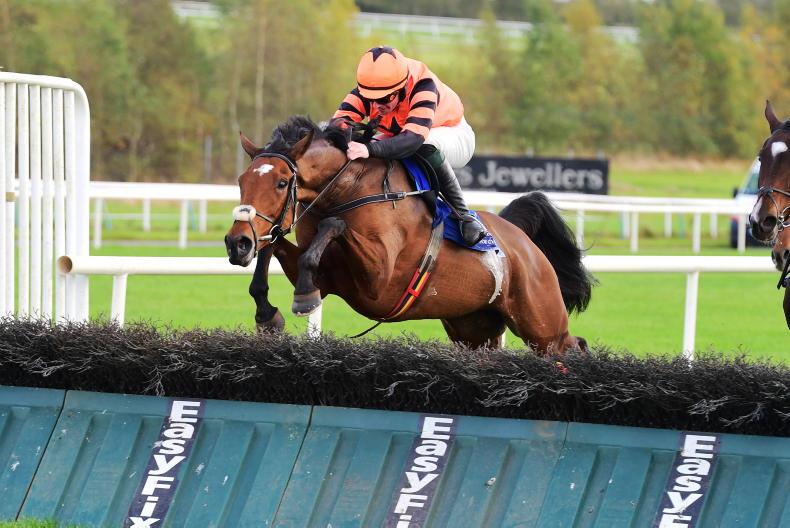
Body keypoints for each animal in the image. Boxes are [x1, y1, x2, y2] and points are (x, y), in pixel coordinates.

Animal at [224, 116, 594, 354]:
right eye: (242, 181)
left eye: (281, 182)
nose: (236, 242)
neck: (348, 188)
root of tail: (520, 239)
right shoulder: (328, 276)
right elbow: (275, 245)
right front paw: (268, 314)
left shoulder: (379, 280)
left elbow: (334, 226)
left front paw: (301, 296)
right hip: (473, 329)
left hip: (542, 325)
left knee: (572, 347)